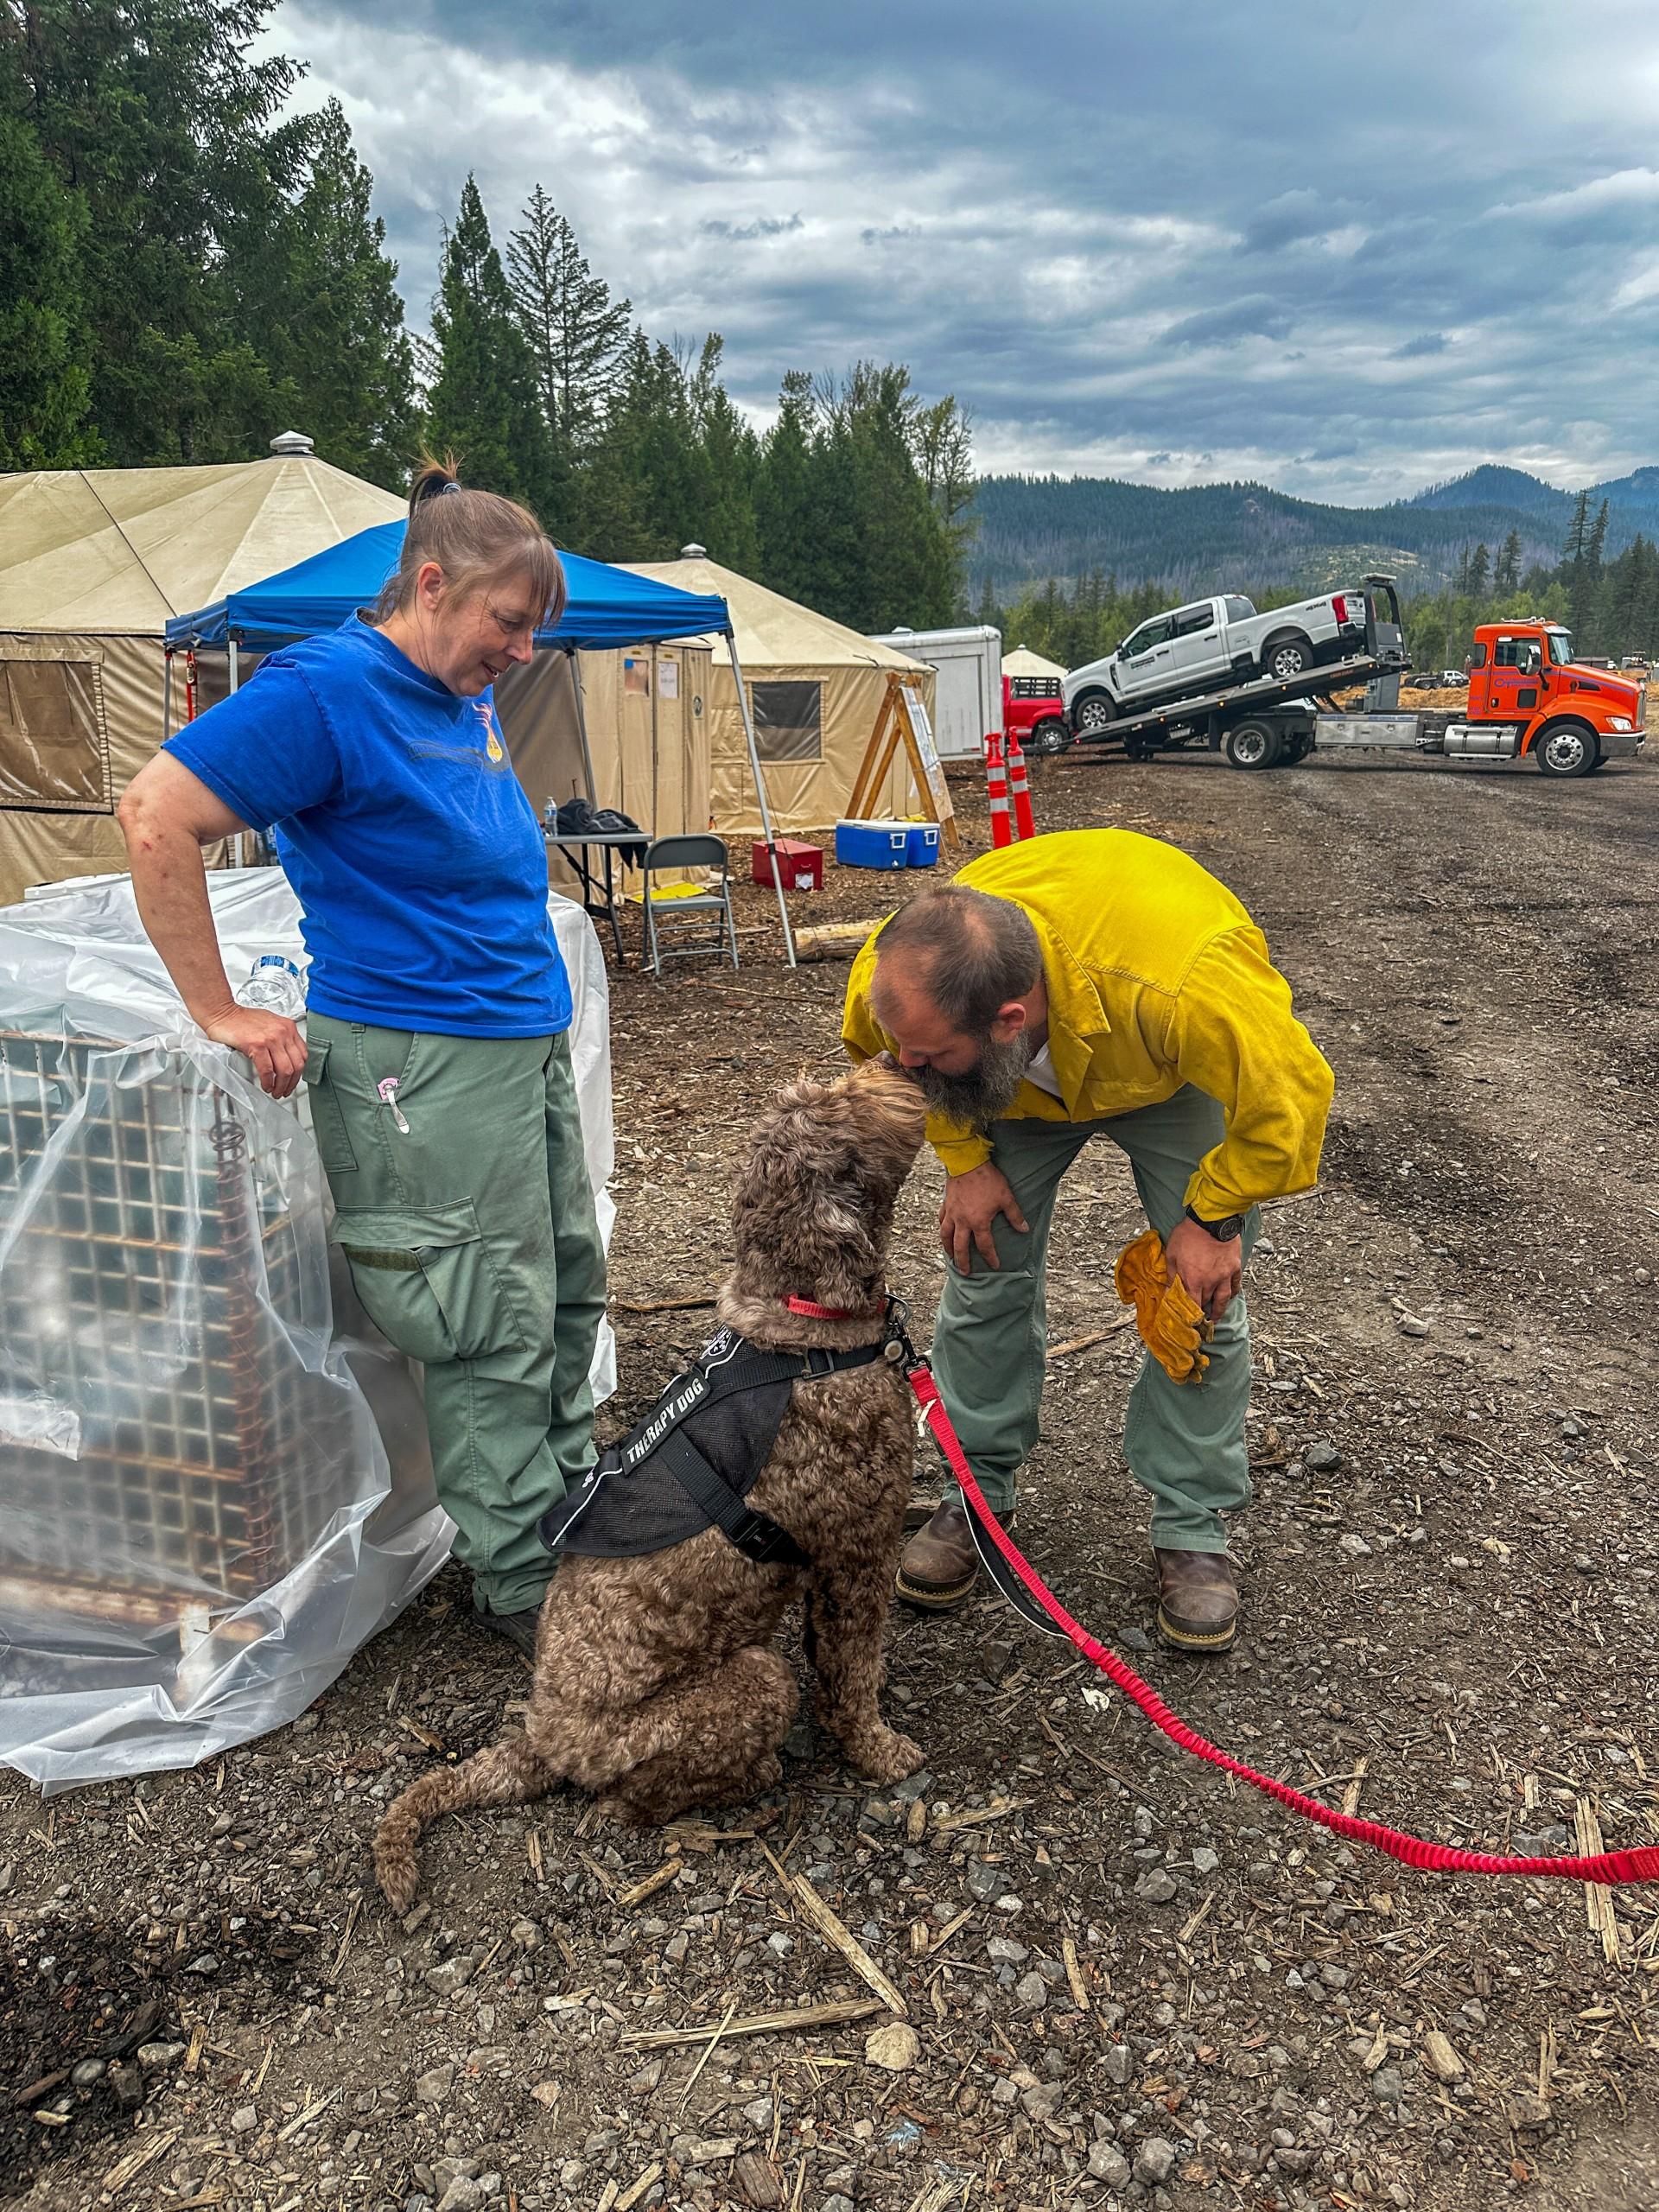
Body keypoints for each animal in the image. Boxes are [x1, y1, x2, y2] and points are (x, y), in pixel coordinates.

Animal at [380, 1048, 938, 1902]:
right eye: (843, 1108)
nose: (886, 1057)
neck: (800, 1321)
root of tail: (540, 1732)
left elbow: (834, 1661)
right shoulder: (857, 1555)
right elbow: (854, 1670)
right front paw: (879, 1752)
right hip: (745, 1685)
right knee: (629, 1800)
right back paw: (743, 1784)